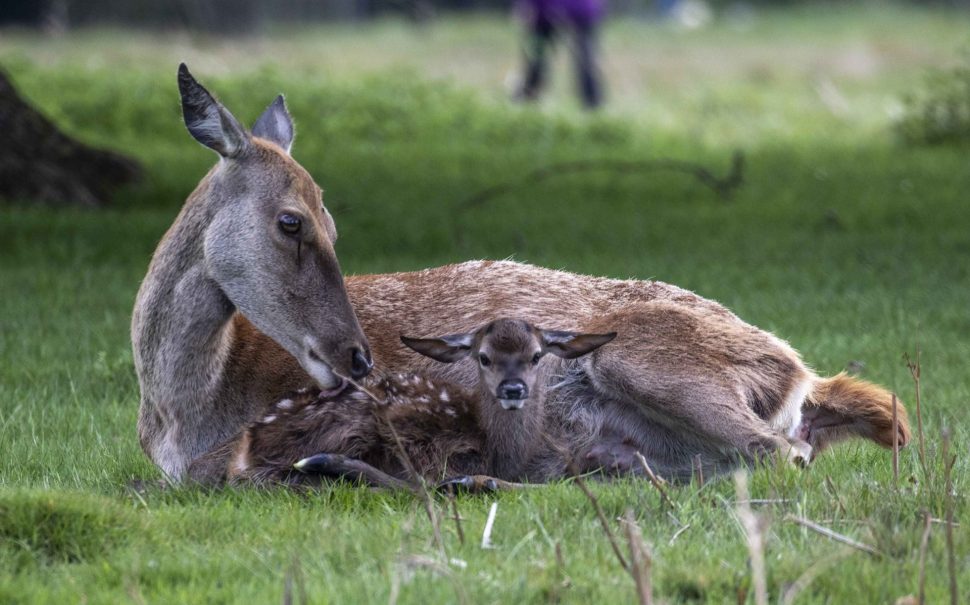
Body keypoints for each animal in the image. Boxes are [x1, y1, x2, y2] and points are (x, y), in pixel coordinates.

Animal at [194, 316, 616, 486]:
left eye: (536, 355)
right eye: (483, 357)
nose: (513, 389)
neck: (497, 451)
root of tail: (245, 447)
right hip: (358, 424)